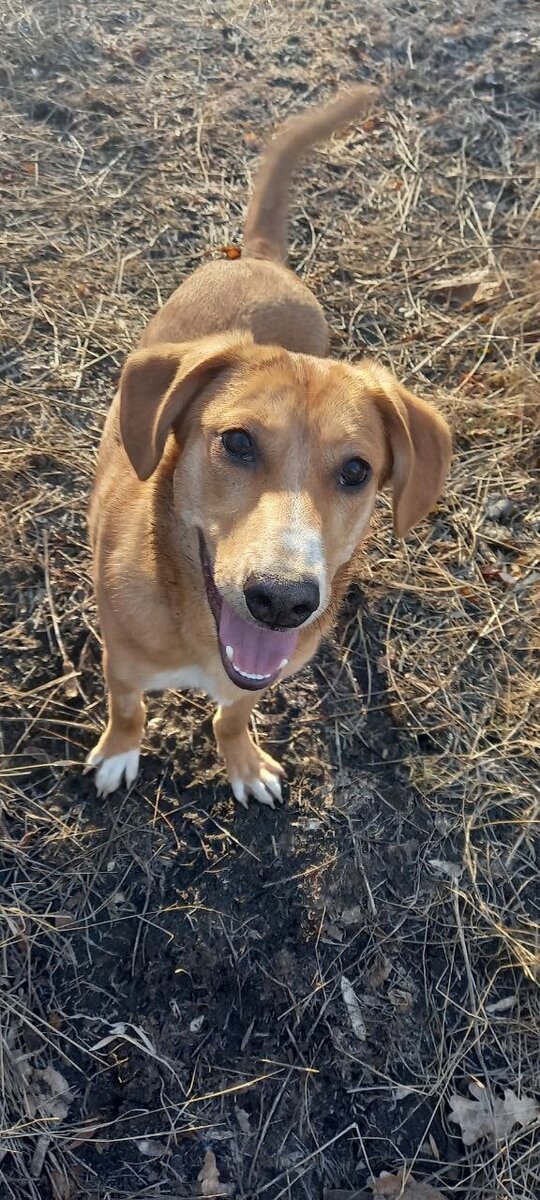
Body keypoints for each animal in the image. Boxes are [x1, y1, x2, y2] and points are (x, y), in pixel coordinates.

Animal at [86, 87, 451, 806]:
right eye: (237, 443)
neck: (199, 631)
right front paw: (119, 753)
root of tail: (256, 256)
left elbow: (233, 714)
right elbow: (128, 709)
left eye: (357, 470)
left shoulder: (257, 679)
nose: (282, 602)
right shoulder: (121, 661)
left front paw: (242, 761)